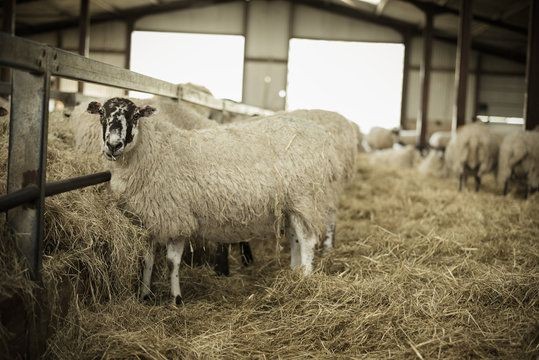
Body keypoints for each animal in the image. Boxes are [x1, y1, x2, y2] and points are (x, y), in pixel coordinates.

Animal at [87, 96, 342, 304]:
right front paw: (144, 295)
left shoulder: (178, 216)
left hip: (304, 197)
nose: (113, 145)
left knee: (307, 240)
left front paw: (176, 299)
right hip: (291, 204)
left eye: (135, 116)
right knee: (294, 238)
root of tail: (321, 136)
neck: (155, 152)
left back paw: (305, 279)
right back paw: (294, 272)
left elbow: (171, 261)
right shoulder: (150, 218)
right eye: (102, 114)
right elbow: (147, 259)